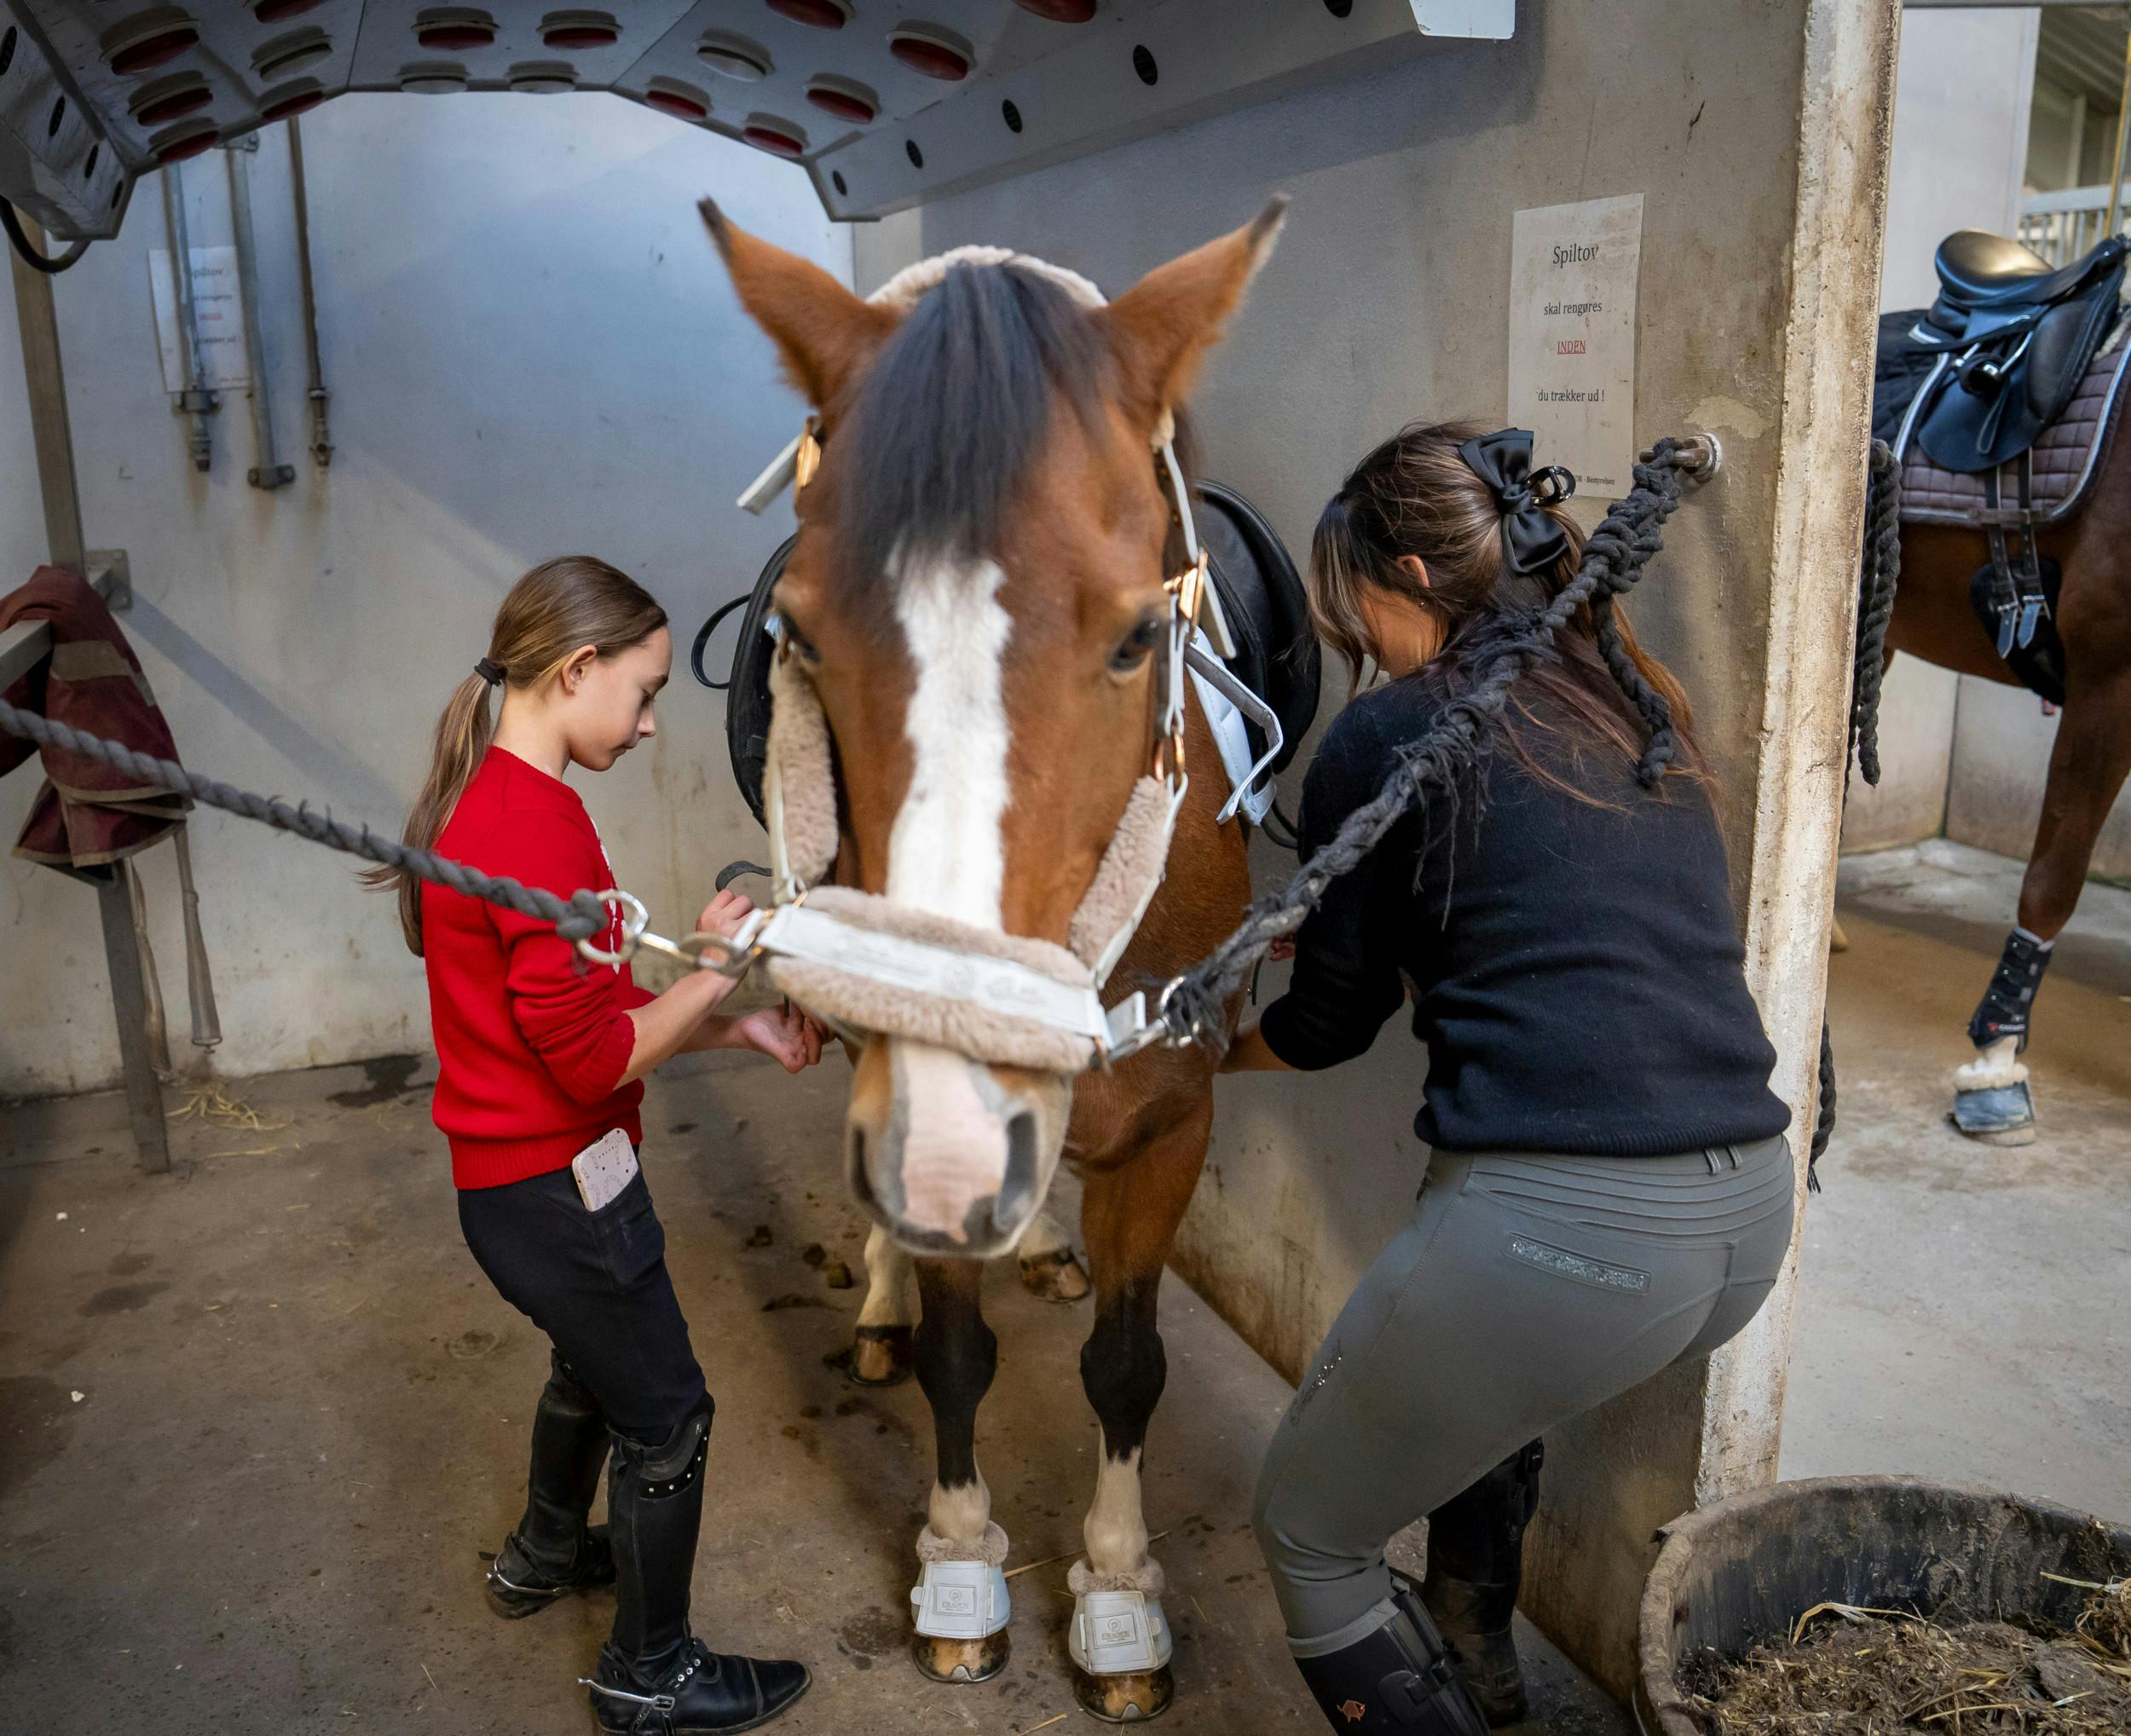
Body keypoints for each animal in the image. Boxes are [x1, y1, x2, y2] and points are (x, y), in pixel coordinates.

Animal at [707, 197, 1287, 1721]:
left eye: (1141, 634)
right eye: (799, 634)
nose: (959, 1143)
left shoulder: (1174, 1119)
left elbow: (1130, 1368)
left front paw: (1122, 1596)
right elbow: (959, 1360)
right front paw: (963, 1565)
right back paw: (883, 1295)